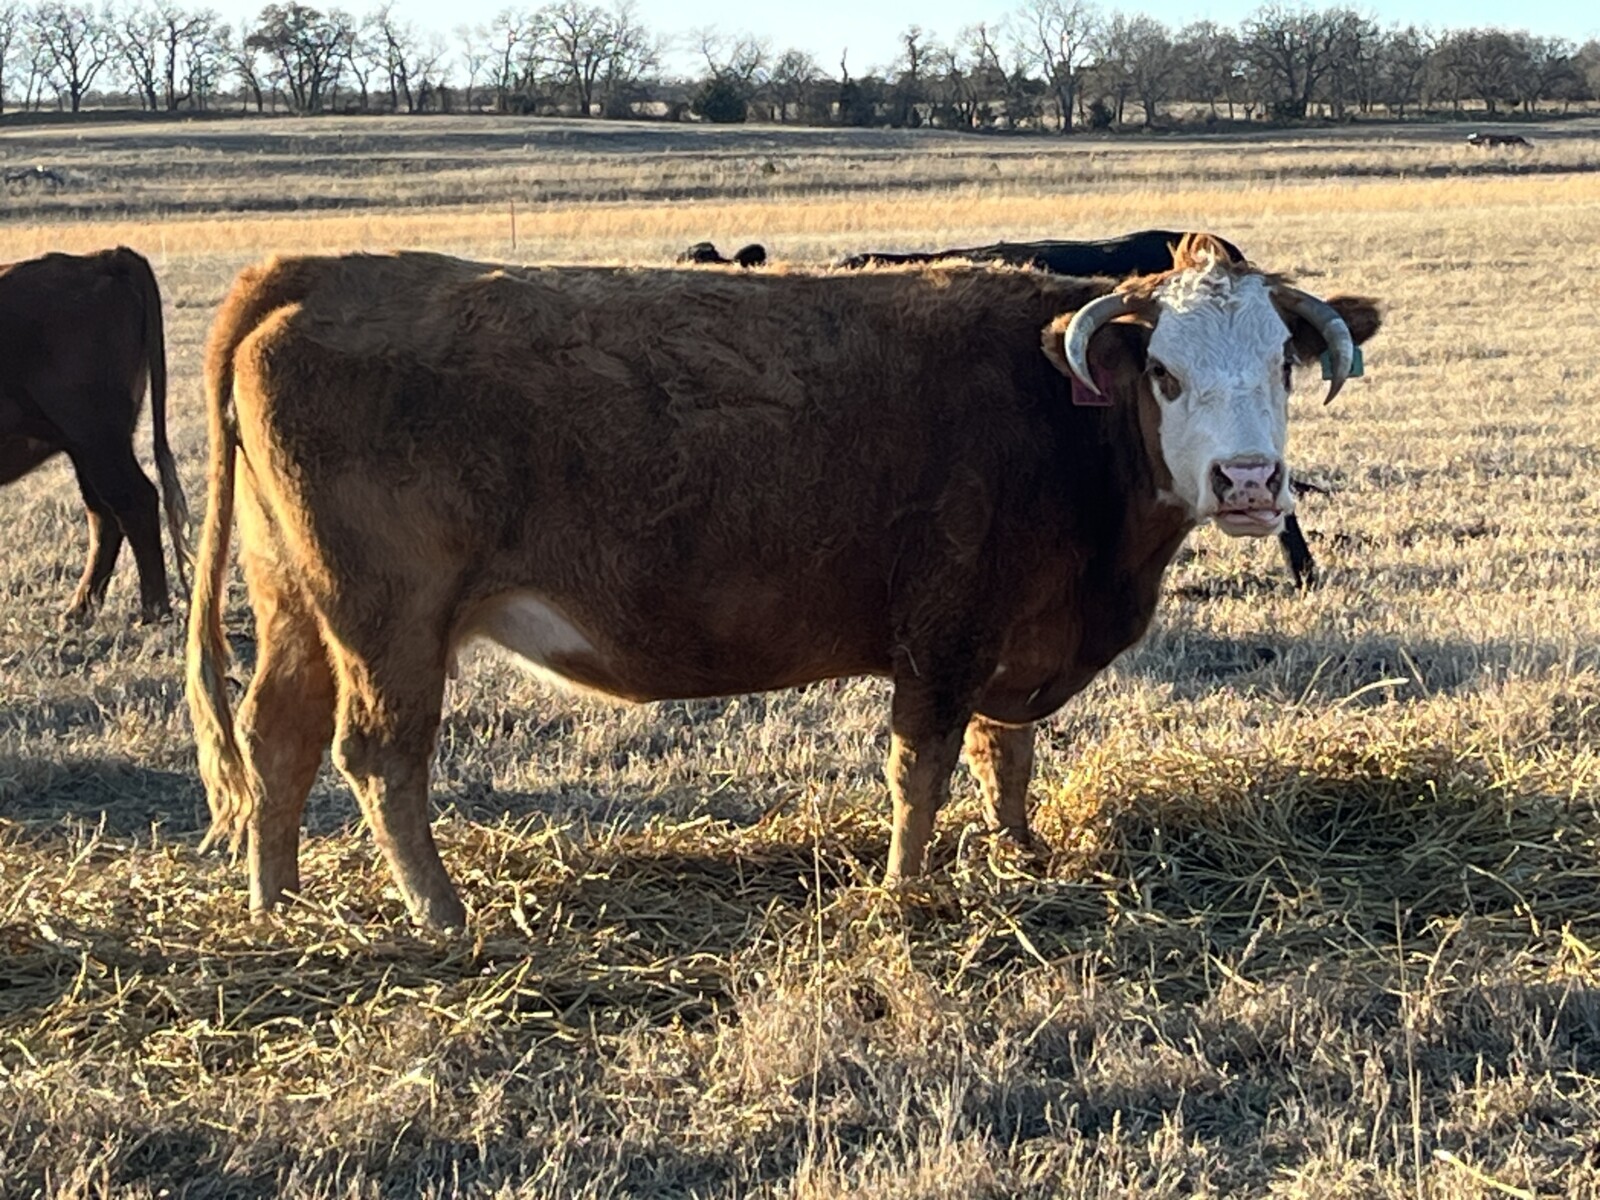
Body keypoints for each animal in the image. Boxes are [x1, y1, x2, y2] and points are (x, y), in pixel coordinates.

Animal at [1, 247, 191, 624]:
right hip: (86, 448)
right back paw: (80, 608)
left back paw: (153, 610)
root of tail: (103, 257)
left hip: (98, 439)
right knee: (104, 513)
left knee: (135, 501)